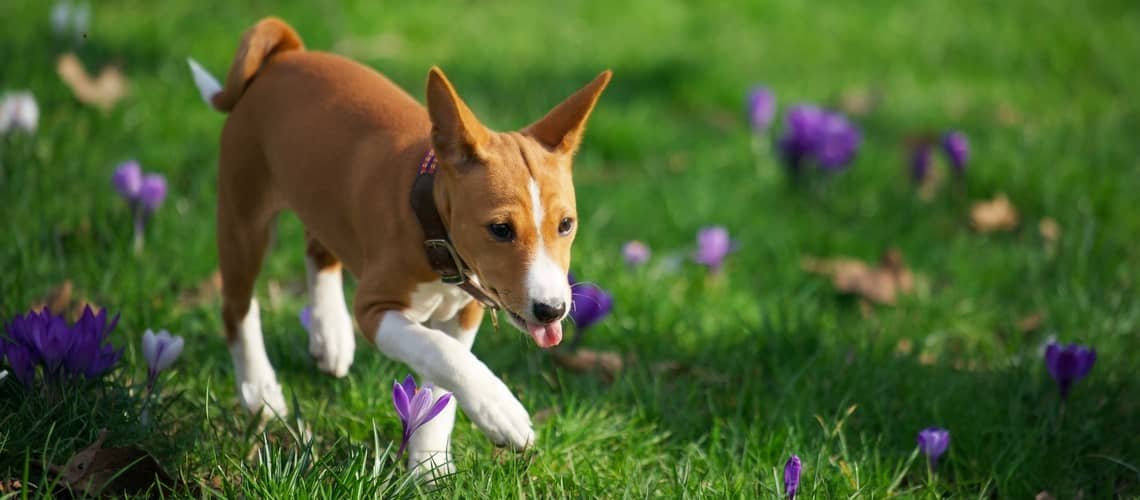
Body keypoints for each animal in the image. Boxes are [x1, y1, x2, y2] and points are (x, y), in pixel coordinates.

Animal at [189, 17, 615, 476]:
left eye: (566, 225)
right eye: (500, 229)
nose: (552, 310)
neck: (433, 232)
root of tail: (286, 56)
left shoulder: (465, 313)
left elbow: (439, 391)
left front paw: (430, 467)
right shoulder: (375, 310)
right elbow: (442, 354)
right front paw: (501, 412)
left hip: (319, 195)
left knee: (319, 247)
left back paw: (330, 332)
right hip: (243, 216)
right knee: (237, 307)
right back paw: (261, 393)